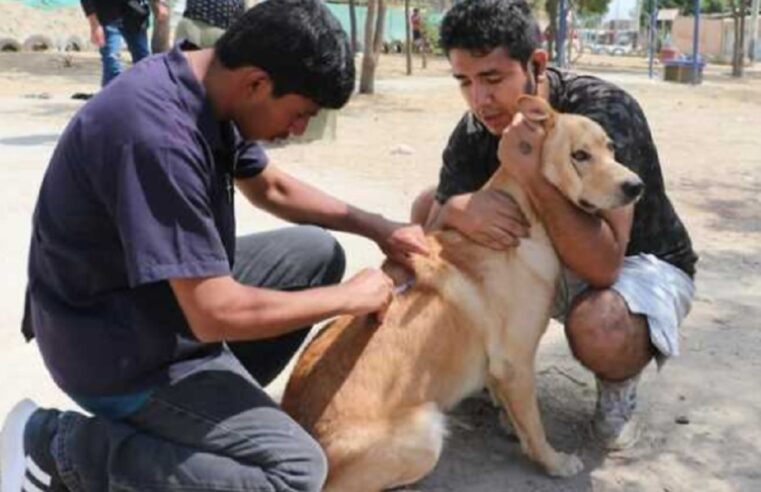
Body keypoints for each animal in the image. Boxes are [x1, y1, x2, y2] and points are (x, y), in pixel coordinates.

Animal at [282, 97, 644, 492]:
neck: (528, 215)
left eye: (611, 147)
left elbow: (516, 411)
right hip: (427, 430)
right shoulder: (515, 361)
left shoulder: (505, 368)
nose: (636, 186)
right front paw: (553, 461)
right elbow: (534, 425)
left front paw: (510, 424)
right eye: (580, 155)